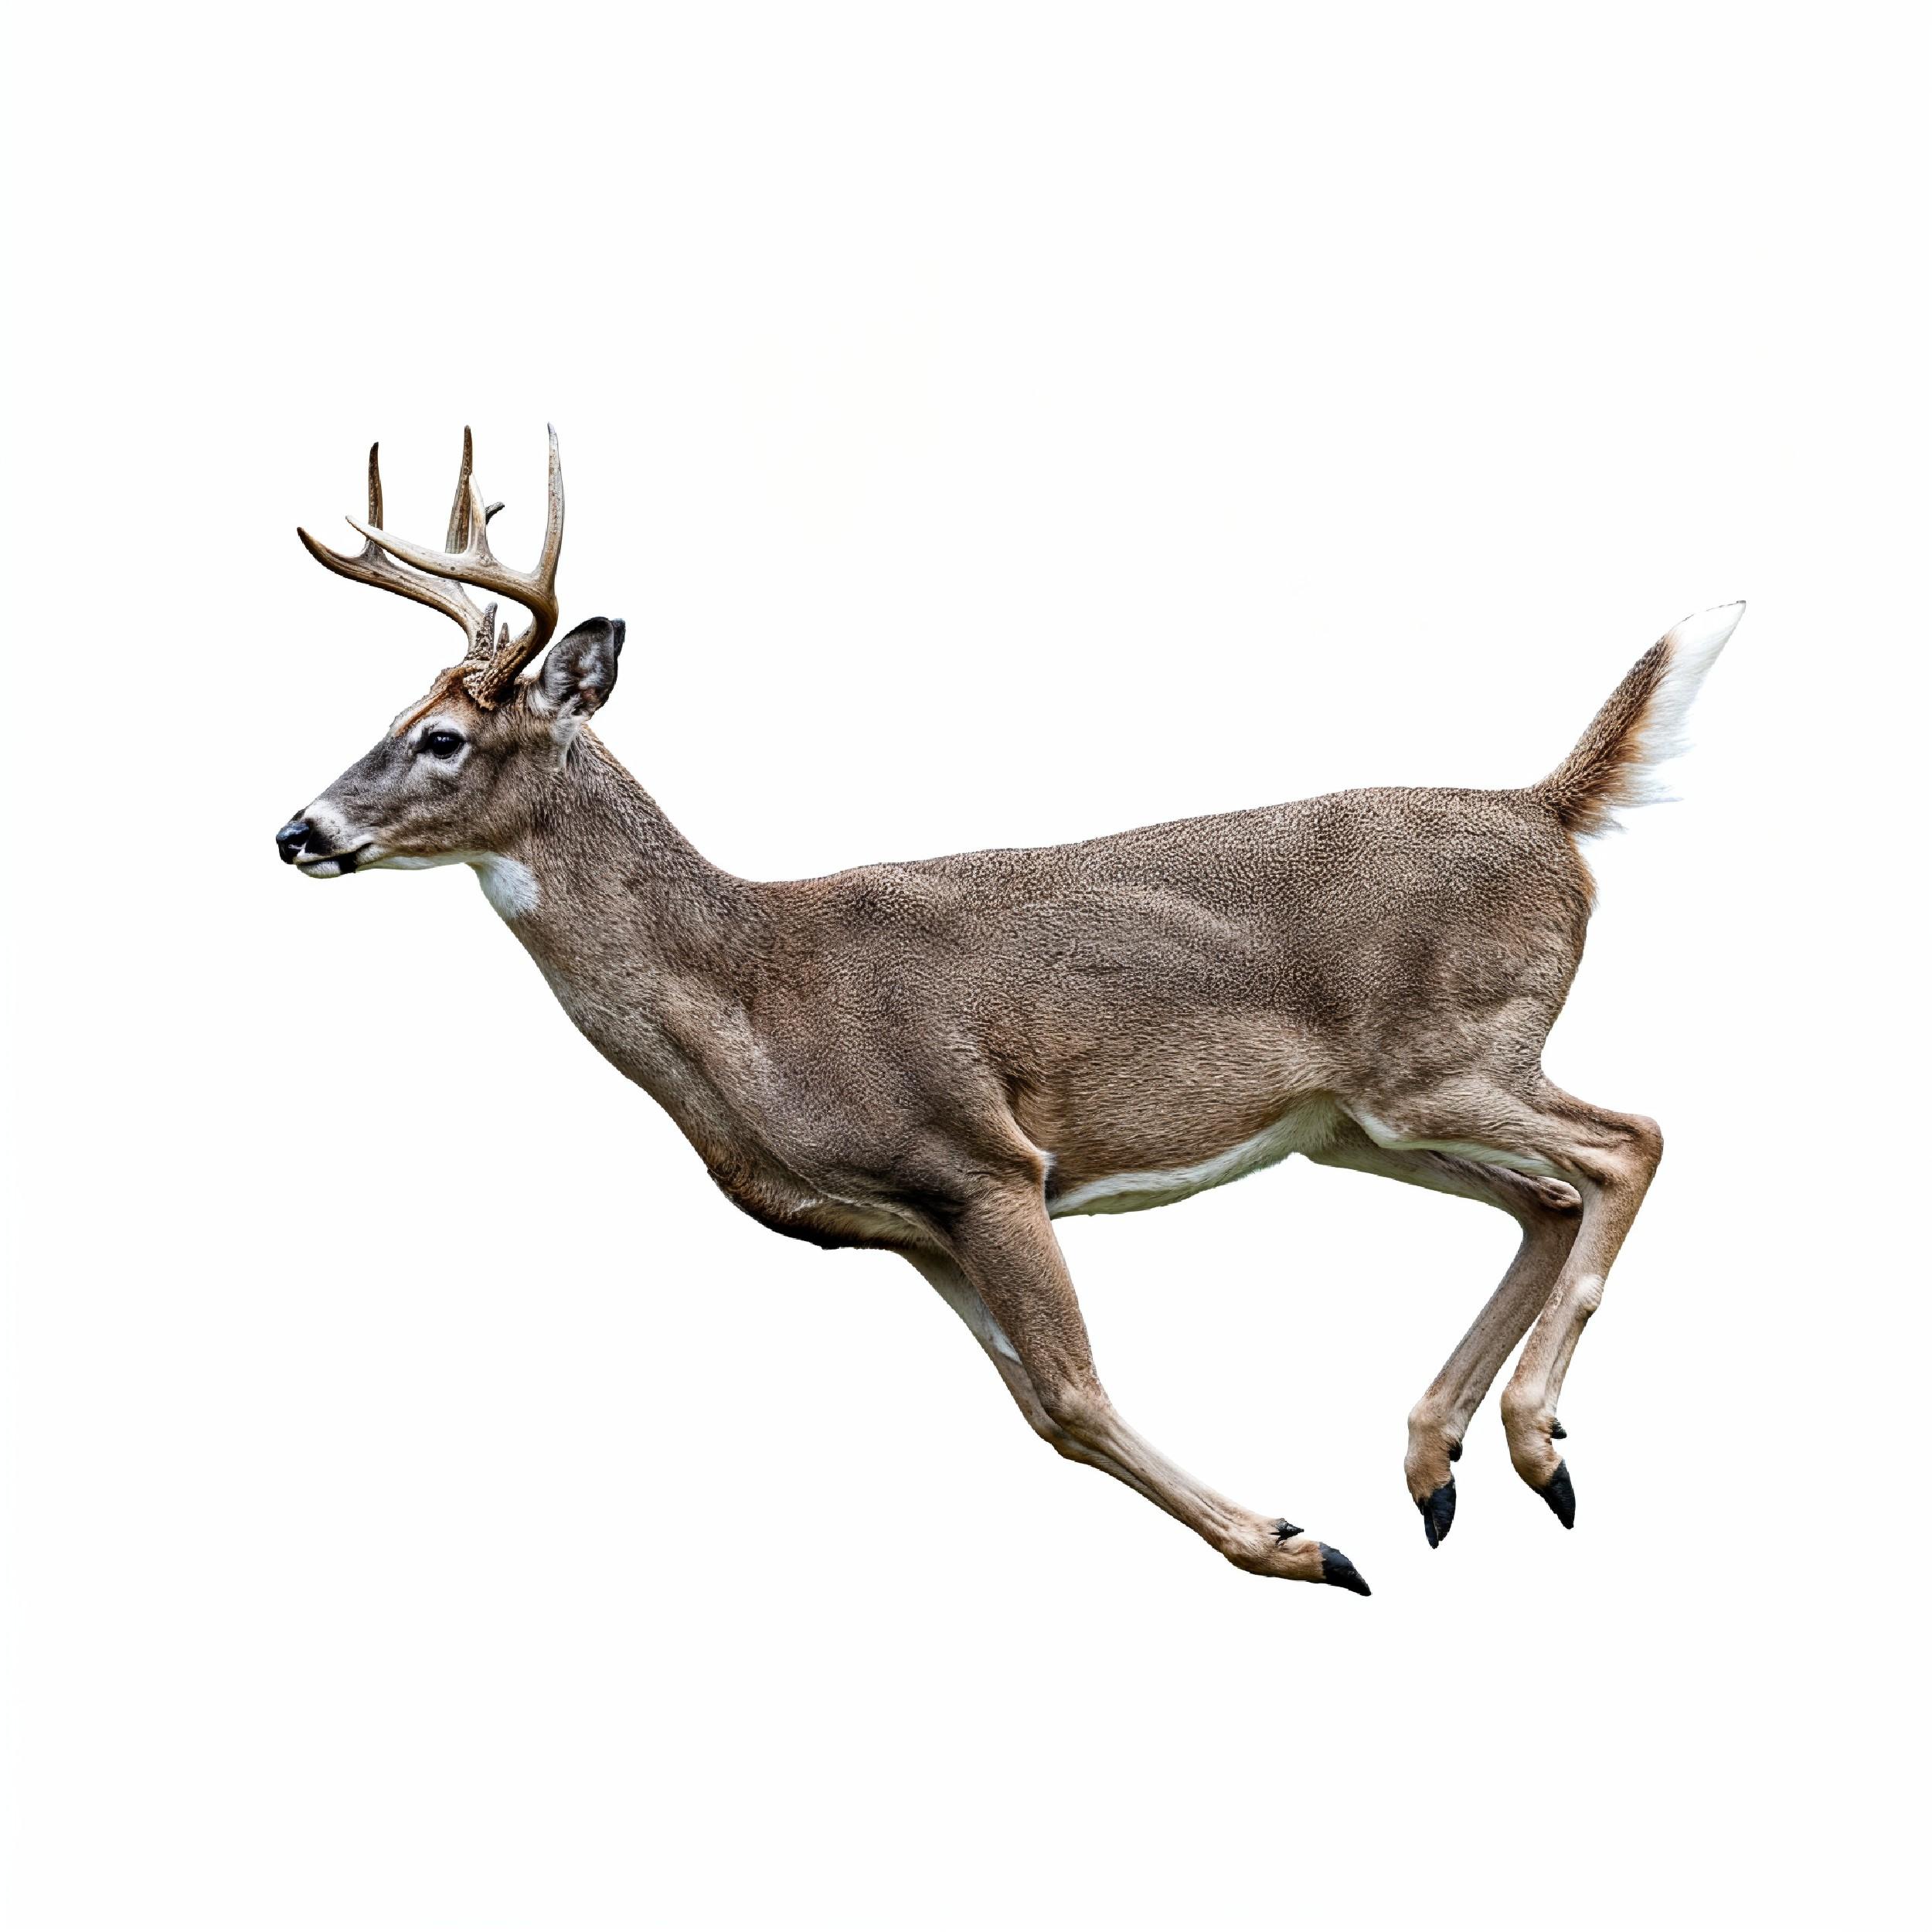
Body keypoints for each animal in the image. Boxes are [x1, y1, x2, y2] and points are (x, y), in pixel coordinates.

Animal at [280, 427, 1742, 1597]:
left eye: (442, 739)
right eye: (390, 717)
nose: (298, 830)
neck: (752, 992)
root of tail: (1547, 811)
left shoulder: (982, 1158)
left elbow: (1080, 1390)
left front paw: (1300, 1546)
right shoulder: (908, 1223)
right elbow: (1048, 1415)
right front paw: (1303, 1537)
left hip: (1448, 1054)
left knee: (1629, 1141)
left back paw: (1534, 1446)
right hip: (1355, 1123)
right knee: (1545, 1196)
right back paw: (1441, 1468)